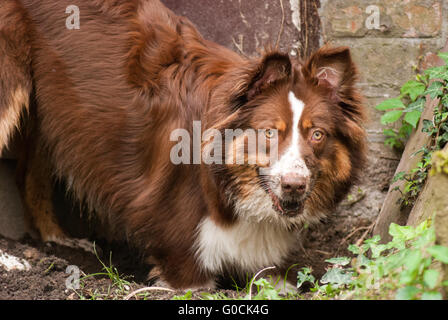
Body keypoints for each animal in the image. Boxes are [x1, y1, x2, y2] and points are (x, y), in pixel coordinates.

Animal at [0, 0, 366, 288]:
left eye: (317, 134)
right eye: (269, 133)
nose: (294, 185)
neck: (227, 178)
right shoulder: (180, 246)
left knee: (27, 173)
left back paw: (59, 240)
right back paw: (12, 261)